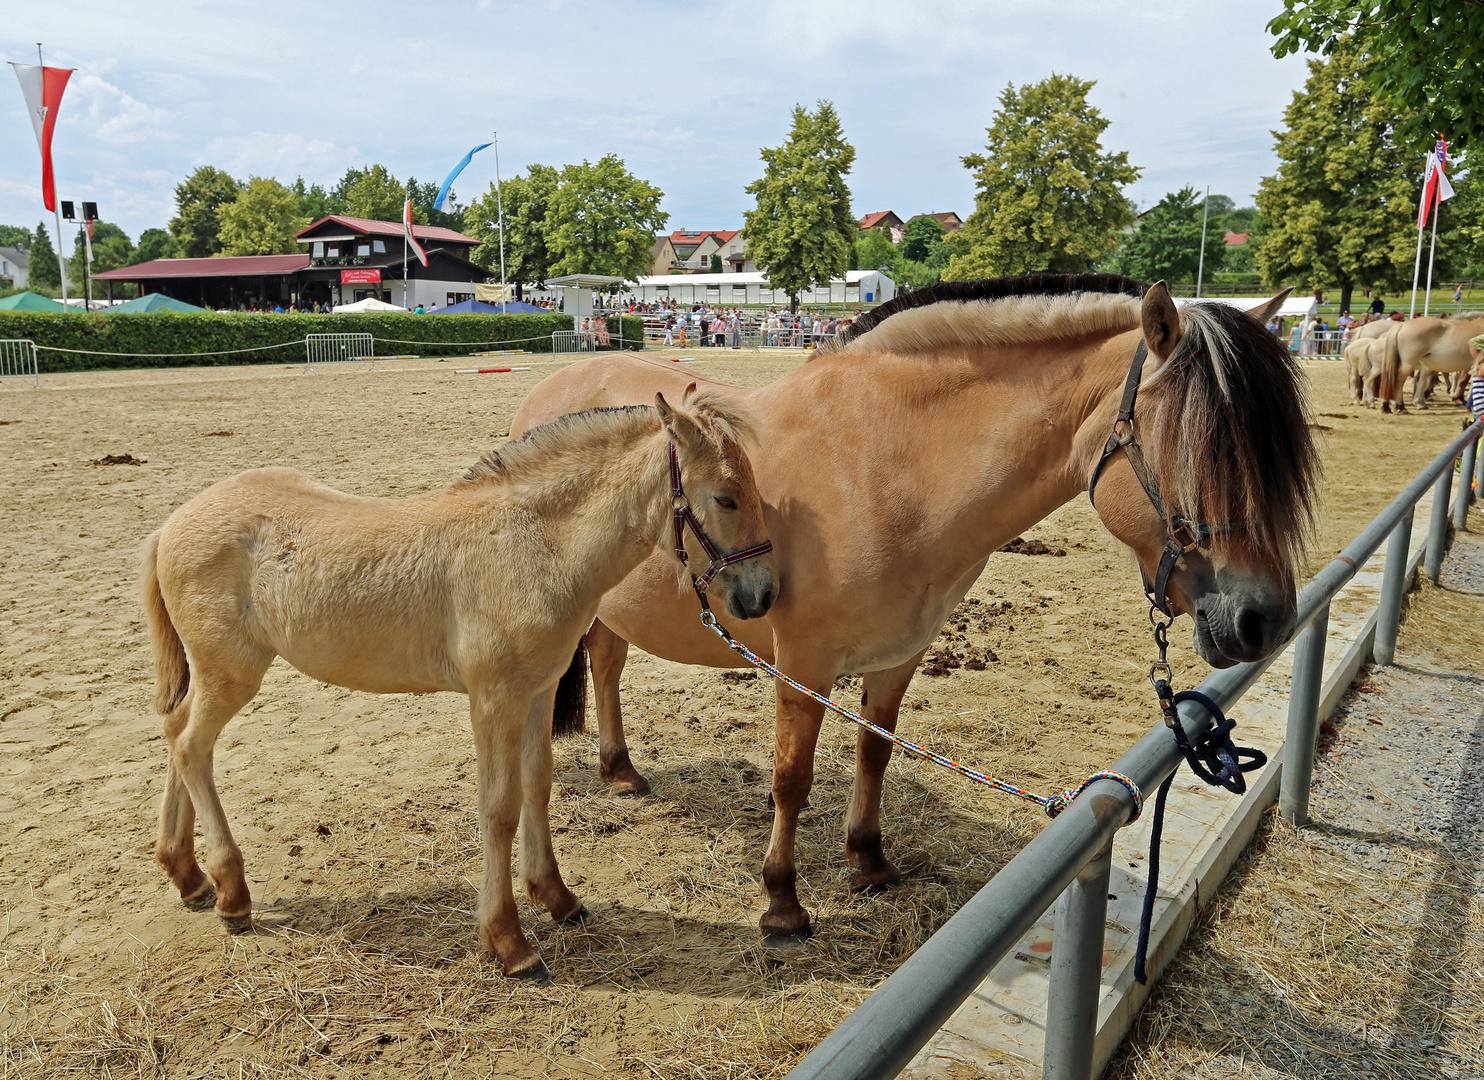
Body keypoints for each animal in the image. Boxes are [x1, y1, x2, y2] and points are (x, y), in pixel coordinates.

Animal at [140, 389, 776, 979]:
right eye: (725, 496)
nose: (763, 593)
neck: (531, 545)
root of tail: (170, 523)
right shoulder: (494, 699)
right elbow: (499, 807)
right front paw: (510, 942)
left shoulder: (538, 690)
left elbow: (537, 785)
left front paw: (558, 898)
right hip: (231, 672)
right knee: (192, 746)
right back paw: (231, 894)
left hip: (215, 674)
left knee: (176, 732)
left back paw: (187, 875)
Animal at [512, 276, 1321, 944]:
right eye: (1196, 448)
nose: (1265, 619)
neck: (889, 467)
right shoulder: (803, 663)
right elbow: (791, 779)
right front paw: (783, 904)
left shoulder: (902, 652)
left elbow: (875, 750)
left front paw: (869, 863)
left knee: (607, 661)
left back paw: (620, 769)